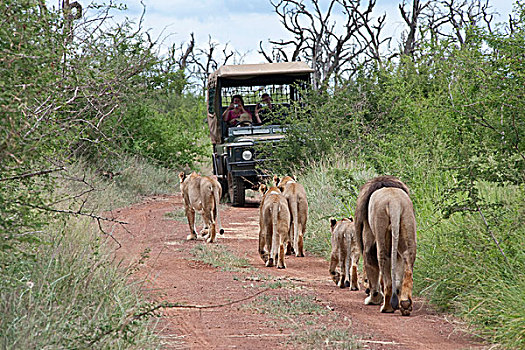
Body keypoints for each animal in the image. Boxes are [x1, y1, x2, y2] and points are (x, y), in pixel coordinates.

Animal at [352, 176, 418, 316]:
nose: (366, 290)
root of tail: (394, 202)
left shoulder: (368, 240)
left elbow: (371, 267)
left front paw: (373, 298)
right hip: (407, 222)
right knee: (407, 265)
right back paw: (405, 304)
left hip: (380, 226)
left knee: (387, 277)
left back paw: (386, 307)